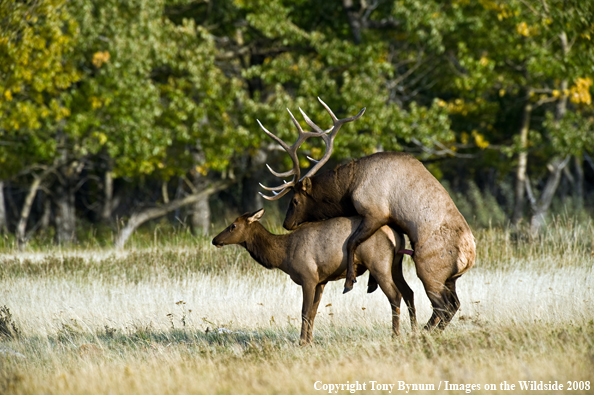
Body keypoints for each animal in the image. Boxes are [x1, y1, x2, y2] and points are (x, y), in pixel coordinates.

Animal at [210, 210, 414, 346]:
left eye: (233, 226)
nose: (214, 239)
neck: (283, 255)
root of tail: (395, 234)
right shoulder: (321, 281)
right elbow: (314, 312)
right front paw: (310, 340)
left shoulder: (307, 277)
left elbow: (304, 311)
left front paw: (302, 341)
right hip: (396, 265)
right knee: (409, 292)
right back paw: (415, 329)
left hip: (379, 264)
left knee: (395, 295)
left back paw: (396, 335)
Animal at [256, 97, 474, 332]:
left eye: (295, 200)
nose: (286, 223)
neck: (349, 187)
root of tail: (469, 258)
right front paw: (369, 282)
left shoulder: (375, 211)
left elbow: (352, 242)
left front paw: (351, 282)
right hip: (450, 278)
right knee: (454, 304)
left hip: (428, 269)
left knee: (442, 306)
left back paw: (422, 332)